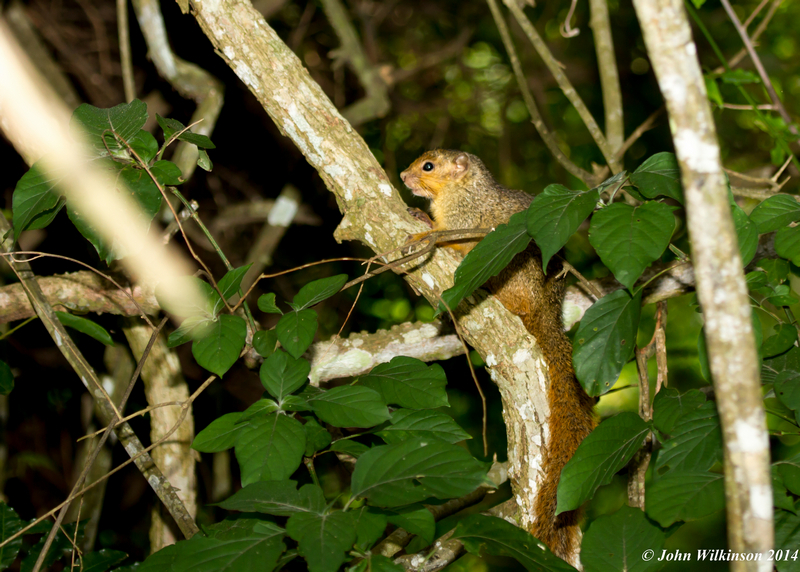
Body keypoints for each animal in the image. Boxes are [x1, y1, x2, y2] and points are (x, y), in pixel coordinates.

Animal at [400, 150, 592, 560]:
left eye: (429, 166)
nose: (404, 176)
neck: (461, 191)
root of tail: (545, 312)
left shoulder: (468, 220)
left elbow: (454, 240)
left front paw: (425, 229)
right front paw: (421, 217)